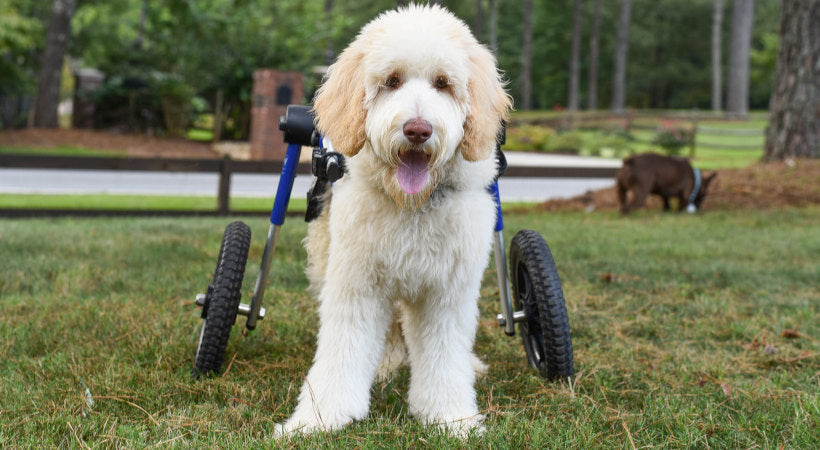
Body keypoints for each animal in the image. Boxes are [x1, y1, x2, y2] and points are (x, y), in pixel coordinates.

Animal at [278, 2, 510, 436]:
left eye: (442, 83)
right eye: (392, 80)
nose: (418, 130)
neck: (412, 208)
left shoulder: (447, 296)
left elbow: (444, 358)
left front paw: (450, 416)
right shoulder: (357, 284)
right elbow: (342, 351)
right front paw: (319, 418)